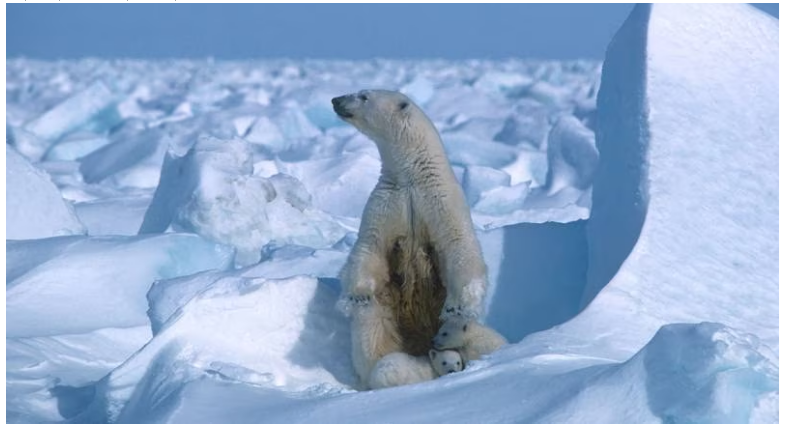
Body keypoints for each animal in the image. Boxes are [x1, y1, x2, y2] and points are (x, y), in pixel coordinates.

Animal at [332, 88, 490, 386]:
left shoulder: (440, 202)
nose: (336, 100)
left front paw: (456, 306)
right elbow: (369, 247)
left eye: (364, 95)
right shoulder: (387, 203)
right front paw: (357, 295)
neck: (412, 177)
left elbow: (459, 245)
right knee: (372, 331)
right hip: (387, 310)